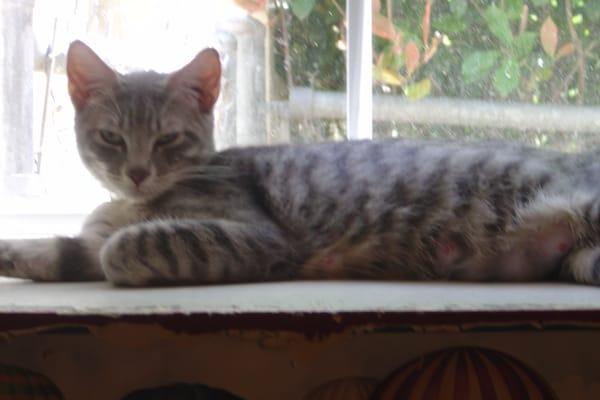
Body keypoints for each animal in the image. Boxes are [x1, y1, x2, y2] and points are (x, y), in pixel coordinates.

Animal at [1, 39, 600, 286]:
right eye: (111, 137)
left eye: (168, 138)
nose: (137, 172)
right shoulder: (89, 236)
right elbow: (67, 249)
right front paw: (17, 252)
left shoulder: (259, 238)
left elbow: (120, 251)